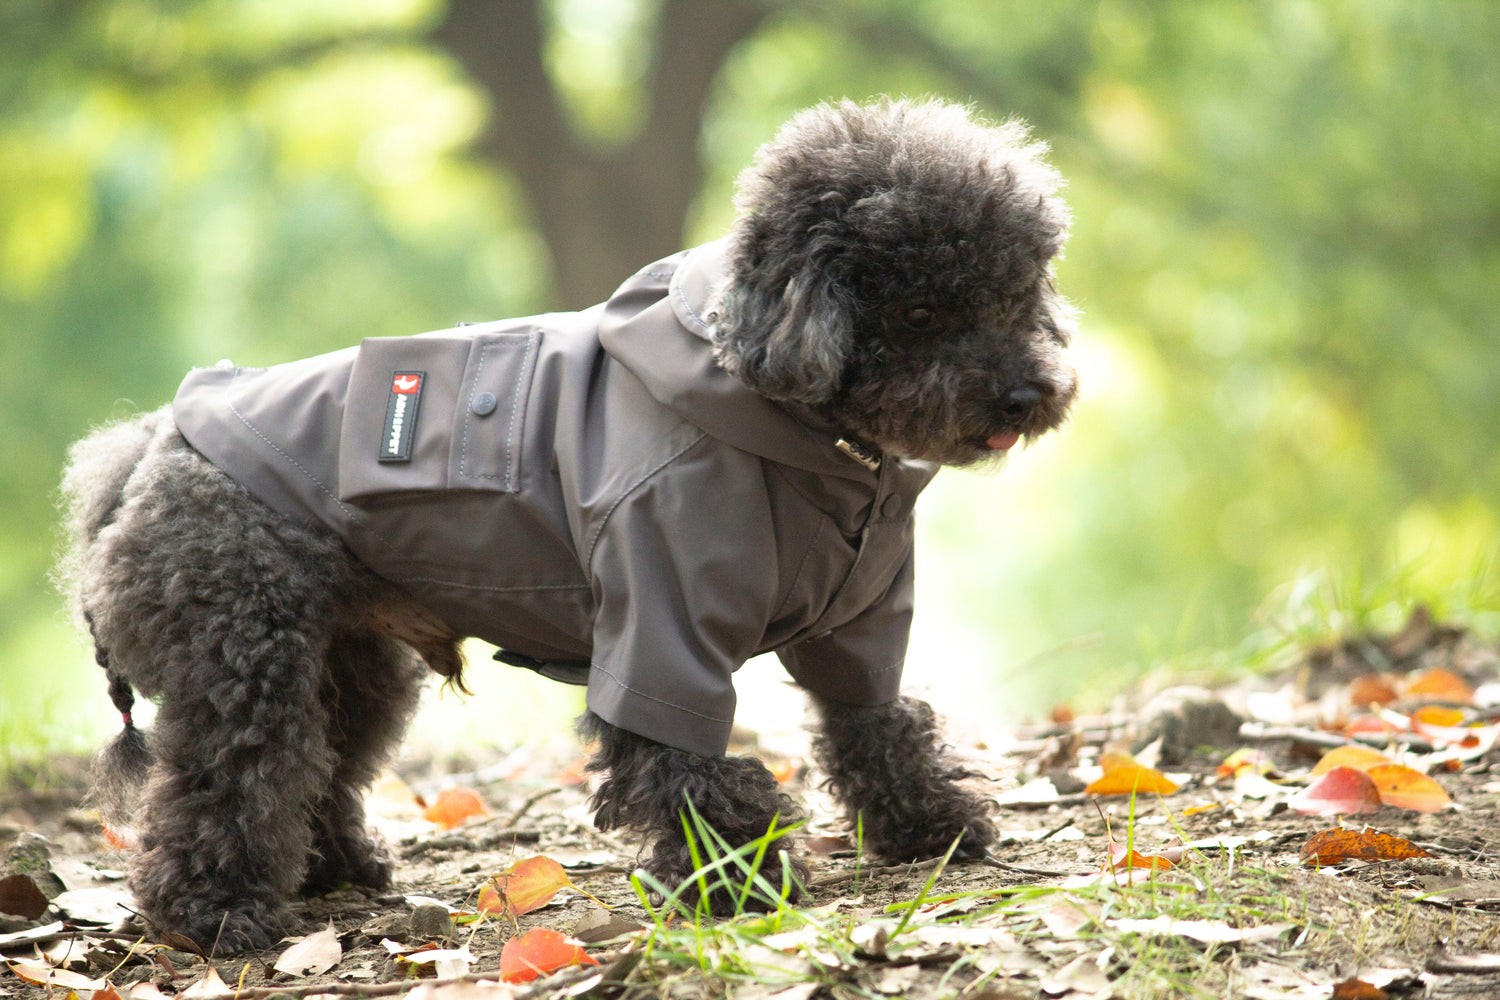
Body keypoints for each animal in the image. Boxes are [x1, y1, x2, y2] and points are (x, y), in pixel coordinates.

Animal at [61, 97, 1080, 953]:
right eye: (922, 309)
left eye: (1014, 296)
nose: (1027, 395)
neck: (782, 412)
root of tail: (149, 446)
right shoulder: (660, 622)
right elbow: (684, 762)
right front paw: (738, 882)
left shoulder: (857, 623)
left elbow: (878, 723)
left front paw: (930, 825)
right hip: (246, 652)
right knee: (232, 775)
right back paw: (214, 912)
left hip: (346, 658)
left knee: (318, 764)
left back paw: (334, 870)